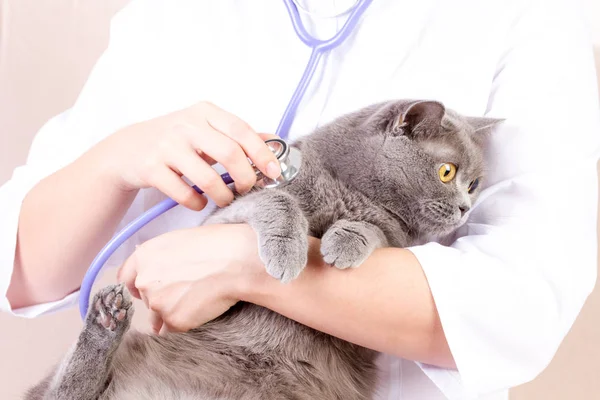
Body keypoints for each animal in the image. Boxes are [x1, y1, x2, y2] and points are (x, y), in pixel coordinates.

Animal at [24, 98, 502, 398]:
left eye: (475, 184)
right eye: (446, 172)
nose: (465, 208)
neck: (348, 189)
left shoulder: (392, 235)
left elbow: (375, 231)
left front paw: (344, 243)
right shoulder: (228, 211)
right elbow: (279, 201)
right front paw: (288, 254)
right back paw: (105, 319)